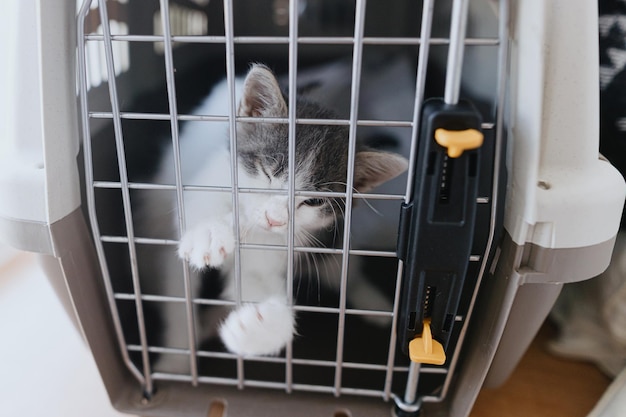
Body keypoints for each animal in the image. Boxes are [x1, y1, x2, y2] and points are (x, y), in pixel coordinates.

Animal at [140, 64, 408, 360]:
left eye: (315, 201)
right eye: (268, 172)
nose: (275, 220)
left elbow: (256, 283)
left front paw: (259, 327)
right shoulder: (213, 175)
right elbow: (198, 206)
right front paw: (208, 235)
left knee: (341, 272)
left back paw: (375, 304)